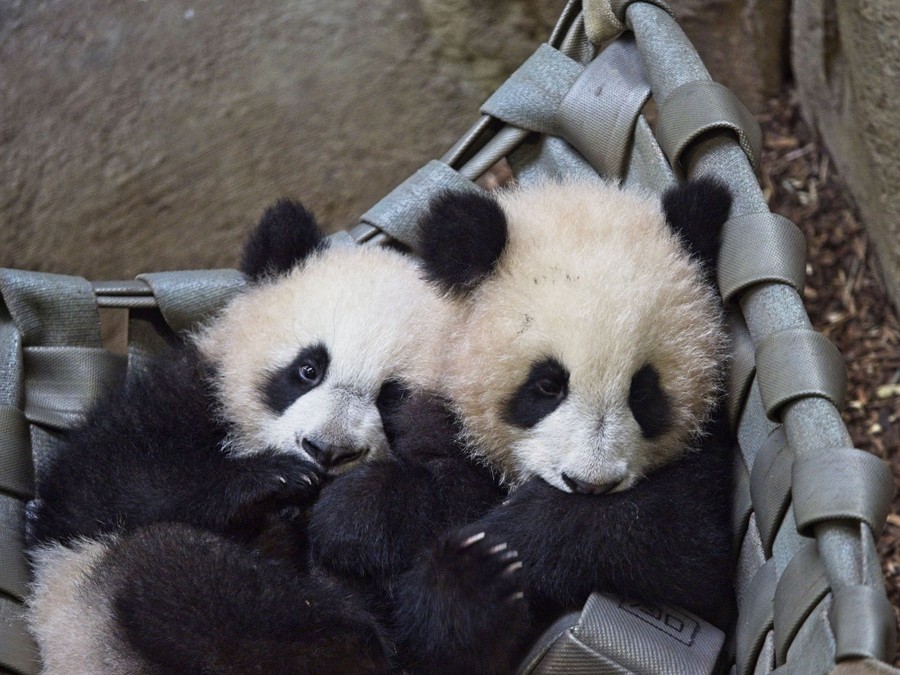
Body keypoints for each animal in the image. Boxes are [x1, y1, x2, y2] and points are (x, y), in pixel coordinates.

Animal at [24, 199, 489, 674]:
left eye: (391, 396)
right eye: (308, 369)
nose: (326, 451)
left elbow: (463, 503)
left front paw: (354, 511)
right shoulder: (188, 394)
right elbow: (102, 485)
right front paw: (271, 478)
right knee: (172, 573)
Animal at [307, 177, 735, 672]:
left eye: (643, 391)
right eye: (548, 385)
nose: (589, 485)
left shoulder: (708, 462)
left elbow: (680, 541)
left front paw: (494, 550)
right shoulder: (441, 408)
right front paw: (358, 516)